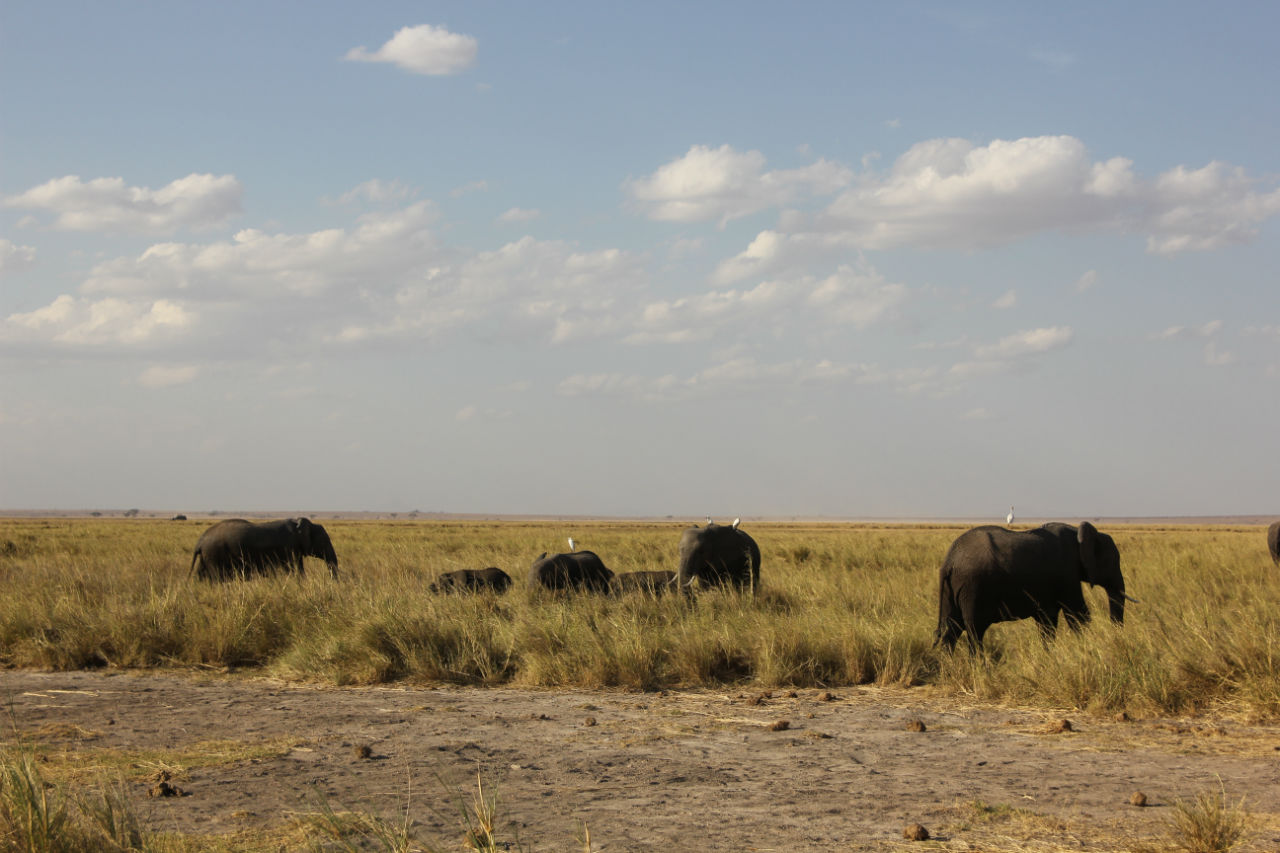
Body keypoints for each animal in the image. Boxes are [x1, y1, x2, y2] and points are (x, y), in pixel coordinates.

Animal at [189, 514, 337, 581]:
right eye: (324, 542)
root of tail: (200, 542)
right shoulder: (289, 547)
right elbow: (294, 568)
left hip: (207, 556)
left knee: (202, 574)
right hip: (214, 554)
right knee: (218, 577)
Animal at [931, 517, 1131, 650]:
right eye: (1113, 561)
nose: (1117, 638)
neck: (1079, 534)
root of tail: (949, 562)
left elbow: (1048, 619)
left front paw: (1049, 655)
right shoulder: (1067, 574)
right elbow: (1078, 614)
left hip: (952, 588)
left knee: (951, 628)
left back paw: (950, 669)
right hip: (973, 586)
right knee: (974, 629)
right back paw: (980, 668)